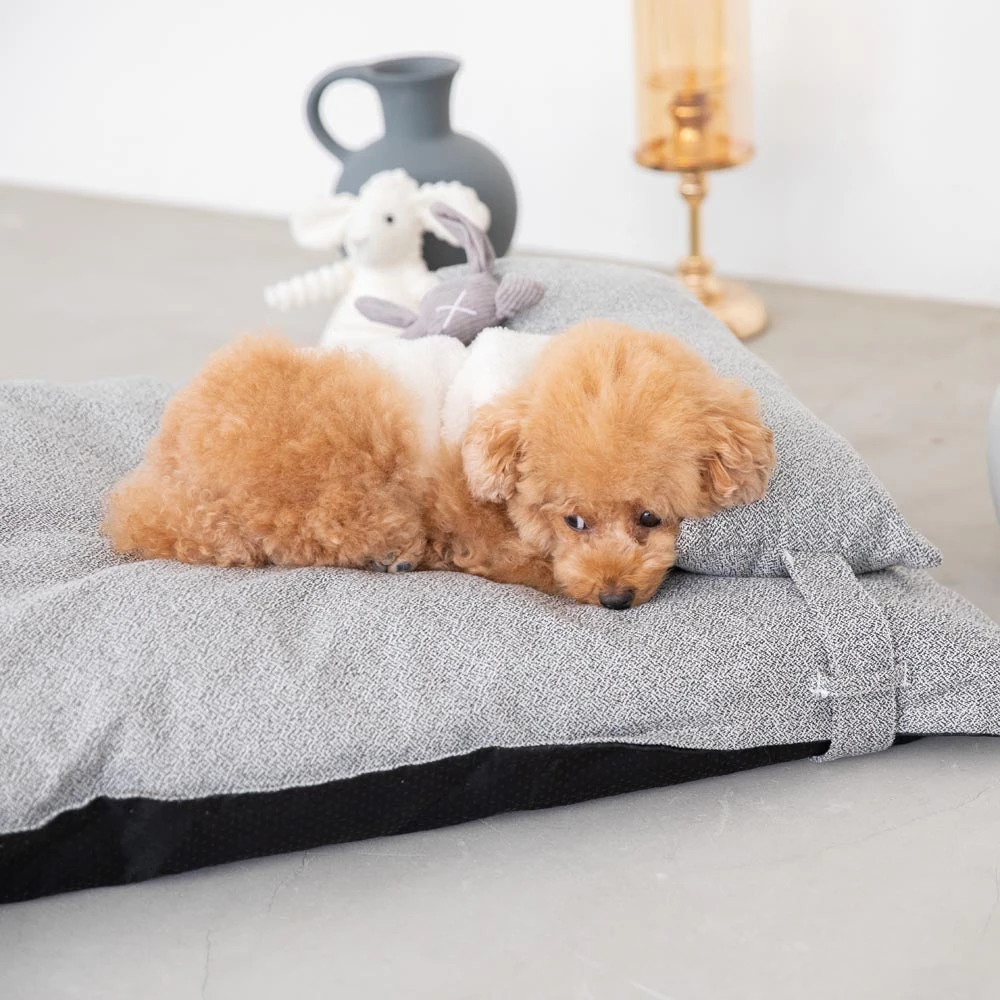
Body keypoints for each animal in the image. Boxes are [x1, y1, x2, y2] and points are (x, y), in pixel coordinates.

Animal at [105, 321, 774, 609]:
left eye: (650, 518)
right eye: (573, 522)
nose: (614, 598)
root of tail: (160, 481)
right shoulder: (480, 528)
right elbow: (528, 566)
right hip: (340, 450)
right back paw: (393, 554)